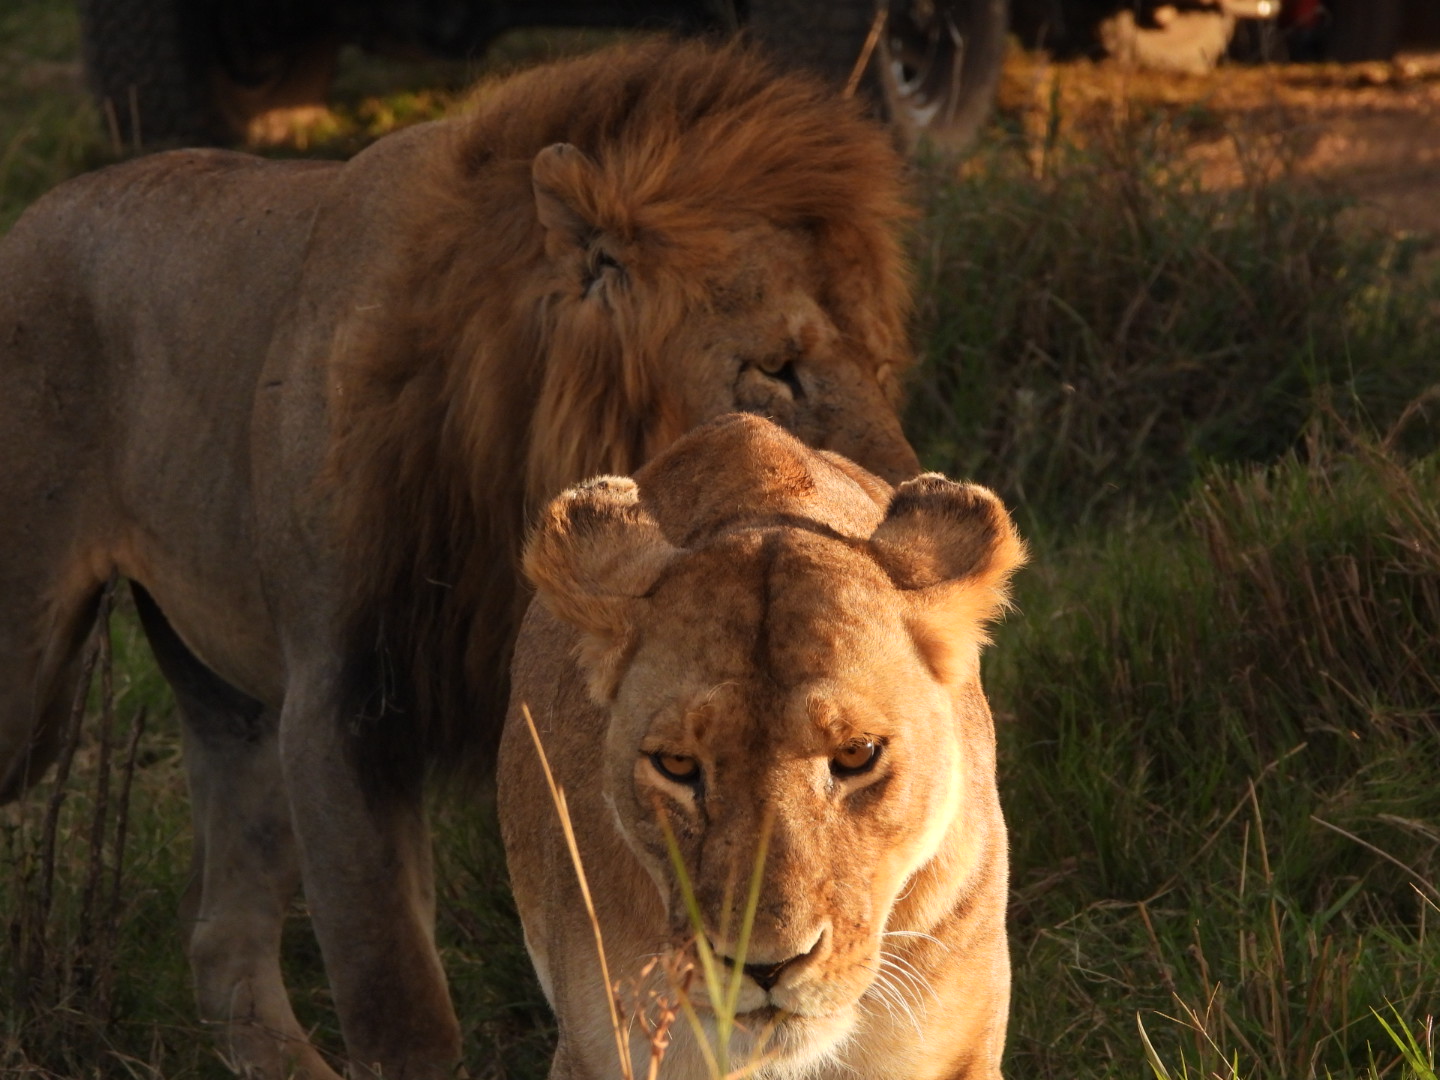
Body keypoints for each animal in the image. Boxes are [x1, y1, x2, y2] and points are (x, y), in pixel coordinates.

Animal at [0, 39, 921, 1080]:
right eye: (776, 367)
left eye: (881, 368)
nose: (900, 512)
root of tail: (40, 208)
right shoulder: (340, 704)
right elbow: (398, 1001)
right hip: (30, 686)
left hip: (234, 708)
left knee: (220, 942)